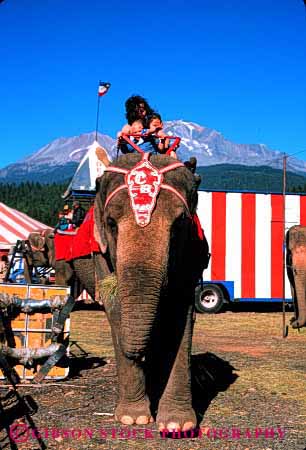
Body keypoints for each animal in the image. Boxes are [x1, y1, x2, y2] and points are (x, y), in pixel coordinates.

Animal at [91, 154, 209, 432]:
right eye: (110, 224)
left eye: (179, 224)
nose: (137, 354)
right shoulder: (99, 252)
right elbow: (115, 311)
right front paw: (133, 419)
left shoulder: (191, 252)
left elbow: (179, 313)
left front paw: (177, 426)